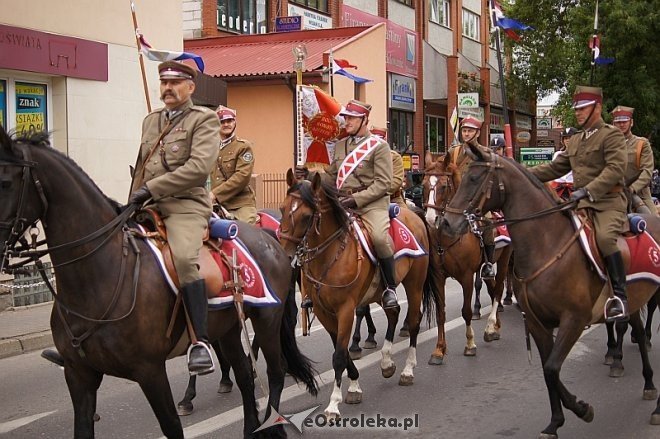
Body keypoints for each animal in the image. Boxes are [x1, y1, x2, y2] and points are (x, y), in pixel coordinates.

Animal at [0, 129, 318, 438]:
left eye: (5, 181)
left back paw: (272, 424)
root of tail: (272, 241)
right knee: (243, 376)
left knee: (274, 372)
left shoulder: (150, 371)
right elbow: (83, 426)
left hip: (267, 319)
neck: (99, 278)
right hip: (228, 328)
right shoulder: (79, 375)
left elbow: (172, 425)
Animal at [278, 169, 444, 420]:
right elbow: (342, 352)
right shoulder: (324, 312)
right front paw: (355, 386)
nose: (286, 256)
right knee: (393, 312)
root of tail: (414, 214)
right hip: (380, 291)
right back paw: (386, 363)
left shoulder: (346, 309)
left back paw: (407, 370)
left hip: (414, 285)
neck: (330, 255)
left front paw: (333, 404)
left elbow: (338, 355)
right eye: (282, 209)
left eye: (307, 216)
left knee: (414, 321)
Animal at [422, 151, 516, 354]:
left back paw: (491, 327)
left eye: (443, 186)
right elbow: (441, 313)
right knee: (492, 287)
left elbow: (466, 310)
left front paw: (470, 343)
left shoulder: (466, 276)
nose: (431, 219)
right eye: (423, 185)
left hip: (504, 258)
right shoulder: (438, 276)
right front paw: (439, 349)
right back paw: (495, 327)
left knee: (498, 290)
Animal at [438, 144, 660, 436]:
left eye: (474, 178)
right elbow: (547, 370)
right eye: (461, 178)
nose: (446, 224)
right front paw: (556, 421)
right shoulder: (537, 322)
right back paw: (648, 383)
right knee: (637, 330)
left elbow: (553, 368)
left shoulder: (573, 320)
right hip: (633, 299)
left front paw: (581, 409)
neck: (547, 244)